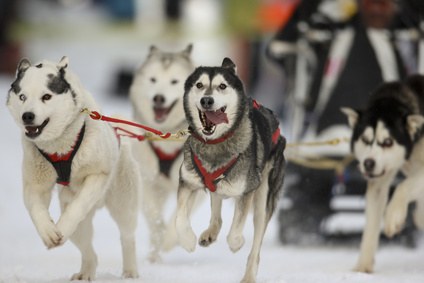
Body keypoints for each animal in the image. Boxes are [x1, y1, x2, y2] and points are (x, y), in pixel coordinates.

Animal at [6, 57, 140, 280]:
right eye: (22, 96)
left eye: (46, 96)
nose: (27, 116)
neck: (59, 147)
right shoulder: (35, 185)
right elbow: (36, 210)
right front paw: (48, 231)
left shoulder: (97, 175)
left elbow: (79, 206)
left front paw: (61, 225)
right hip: (79, 226)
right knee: (89, 251)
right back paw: (86, 272)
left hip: (123, 205)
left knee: (127, 237)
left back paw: (130, 271)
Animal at [128, 45, 196, 264]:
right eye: (153, 80)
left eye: (174, 82)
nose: (159, 98)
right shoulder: (148, 182)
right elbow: (155, 220)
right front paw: (158, 244)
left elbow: (180, 216)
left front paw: (170, 240)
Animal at [174, 57, 286, 283]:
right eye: (199, 85)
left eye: (222, 86)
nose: (207, 101)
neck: (215, 144)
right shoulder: (187, 182)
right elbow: (179, 218)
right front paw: (188, 240)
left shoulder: (247, 190)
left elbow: (236, 228)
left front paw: (236, 243)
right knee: (217, 210)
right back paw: (210, 233)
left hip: (263, 198)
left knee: (256, 246)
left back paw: (249, 276)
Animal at [342, 74, 424, 274]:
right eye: (365, 139)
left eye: (388, 142)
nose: (368, 163)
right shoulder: (379, 181)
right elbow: (371, 224)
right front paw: (362, 267)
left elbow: (403, 186)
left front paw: (393, 216)